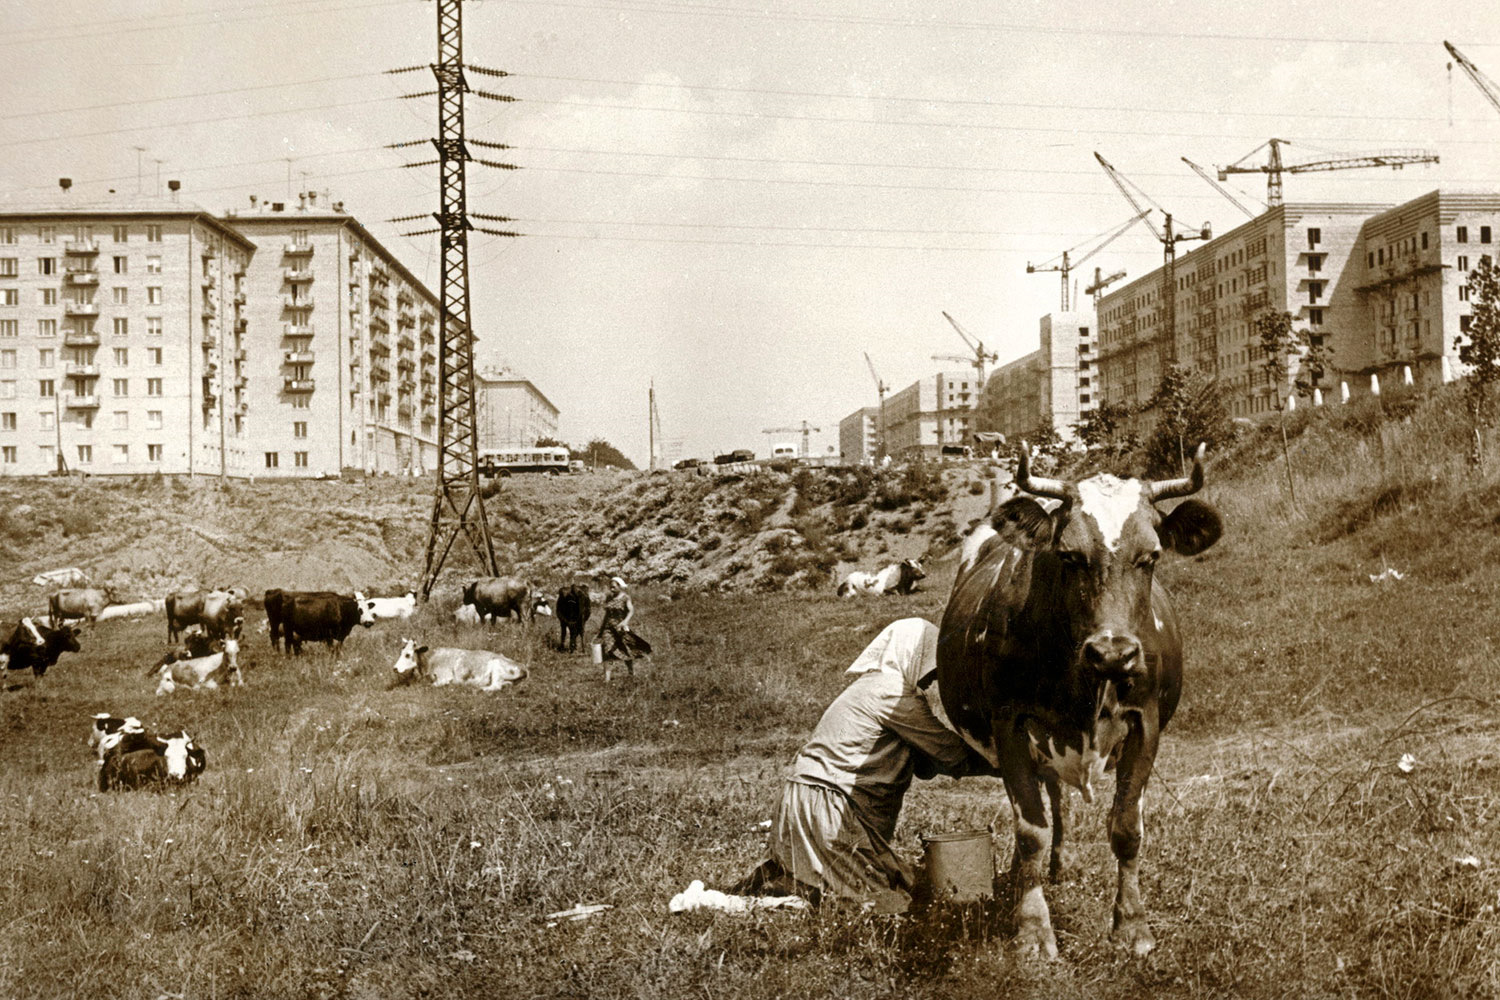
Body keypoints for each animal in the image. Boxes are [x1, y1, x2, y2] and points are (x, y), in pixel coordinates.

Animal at [390, 638, 531, 692]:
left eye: (407, 655)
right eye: (401, 652)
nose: (395, 668)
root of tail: (524, 666)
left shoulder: (445, 677)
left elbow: (431, 685)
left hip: (496, 666)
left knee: (495, 686)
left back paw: (479, 689)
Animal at [936, 440, 1218, 959]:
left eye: (1151, 556)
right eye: (1068, 555)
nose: (1113, 653)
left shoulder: (1146, 723)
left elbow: (1126, 827)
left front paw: (1132, 926)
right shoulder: (1009, 724)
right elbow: (1030, 829)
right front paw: (1032, 930)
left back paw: (1059, 868)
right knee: (1044, 804)